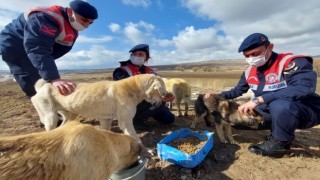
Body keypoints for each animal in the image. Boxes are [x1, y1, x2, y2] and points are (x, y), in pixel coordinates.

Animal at [30, 73, 170, 143]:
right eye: (162, 92)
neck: (132, 87)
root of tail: (42, 87)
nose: (160, 104)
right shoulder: (125, 122)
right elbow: (135, 137)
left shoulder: (106, 120)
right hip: (50, 117)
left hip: (70, 115)